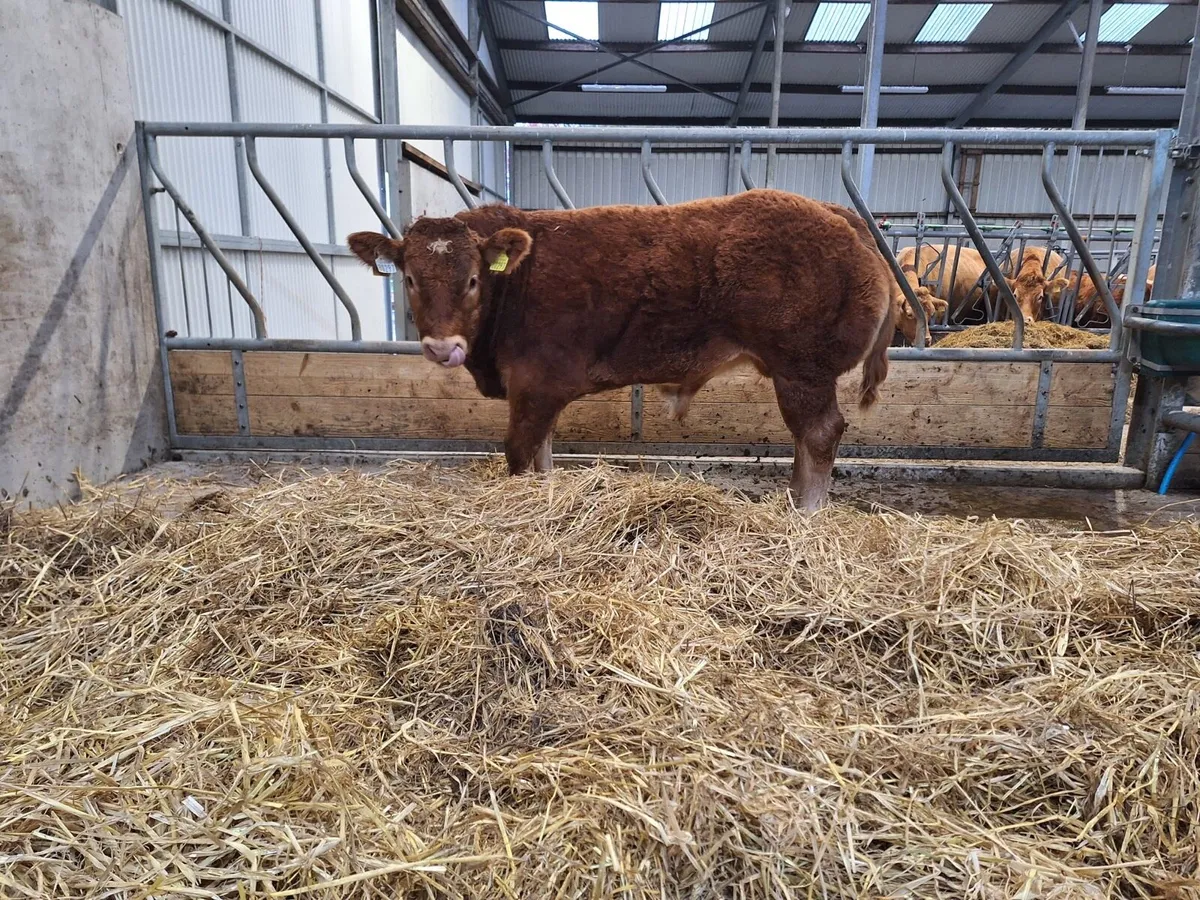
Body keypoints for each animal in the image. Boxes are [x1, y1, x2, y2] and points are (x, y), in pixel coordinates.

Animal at [346, 190, 895, 511]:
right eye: (410, 279)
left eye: (474, 280)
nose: (443, 347)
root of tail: (831, 211)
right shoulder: (536, 391)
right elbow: (543, 454)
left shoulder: (538, 382)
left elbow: (521, 452)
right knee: (807, 439)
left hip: (803, 367)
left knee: (820, 435)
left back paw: (807, 513)